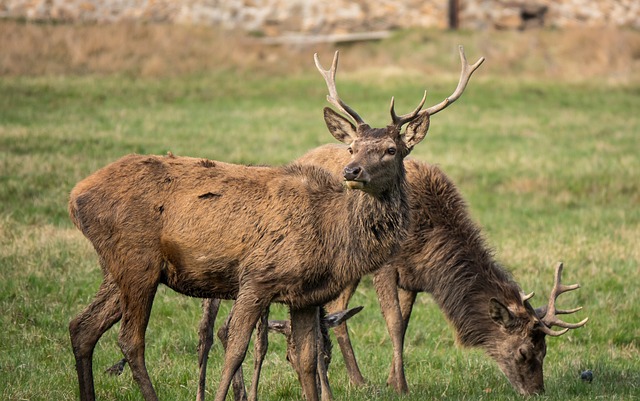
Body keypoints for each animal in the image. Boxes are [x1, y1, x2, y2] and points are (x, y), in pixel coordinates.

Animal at [69, 47, 480, 400]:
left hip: (121, 266)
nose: (352, 171)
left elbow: (306, 360)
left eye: (391, 149)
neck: (332, 233)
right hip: (136, 260)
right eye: (352, 147)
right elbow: (234, 351)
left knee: (82, 327)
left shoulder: (306, 295)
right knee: (130, 340)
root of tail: (75, 196)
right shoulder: (256, 277)